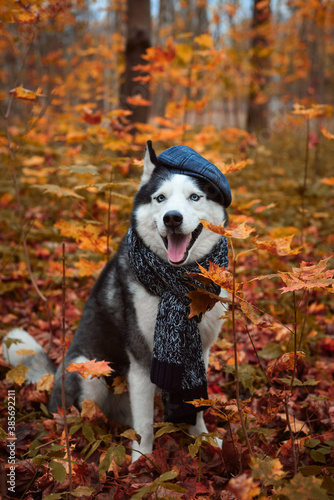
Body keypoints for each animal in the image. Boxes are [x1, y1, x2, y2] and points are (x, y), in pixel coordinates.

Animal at [3, 142, 232, 460]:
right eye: (160, 198)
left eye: (194, 197)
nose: (172, 217)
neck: (178, 285)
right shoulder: (141, 361)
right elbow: (145, 425)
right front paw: (141, 462)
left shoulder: (201, 352)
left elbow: (197, 404)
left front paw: (205, 440)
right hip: (88, 371)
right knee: (86, 418)